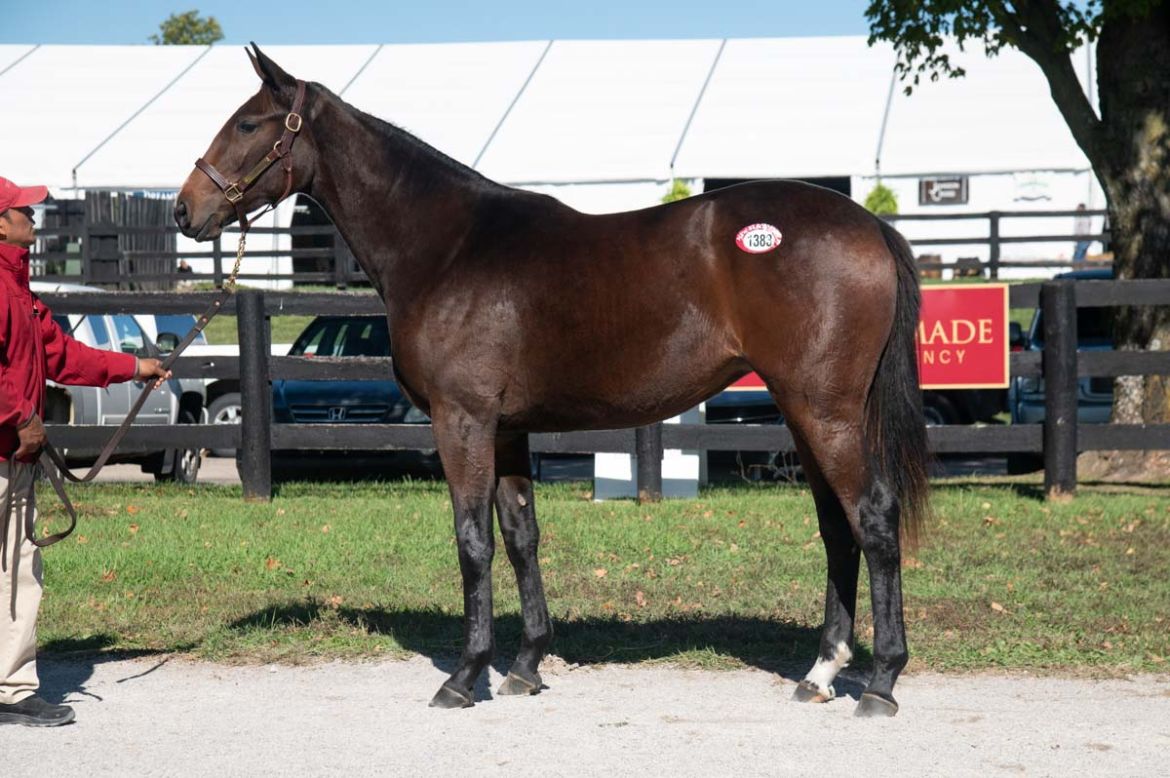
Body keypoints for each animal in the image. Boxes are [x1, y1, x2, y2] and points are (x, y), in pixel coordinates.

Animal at [176, 44, 929, 717]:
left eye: (248, 124)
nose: (184, 210)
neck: (448, 247)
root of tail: (869, 225)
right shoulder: (506, 429)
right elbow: (520, 536)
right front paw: (525, 666)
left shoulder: (462, 420)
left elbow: (472, 541)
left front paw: (464, 677)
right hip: (809, 413)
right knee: (837, 529)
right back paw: (821, 672)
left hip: (824, 411)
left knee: (872, 518)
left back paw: (883, 682)